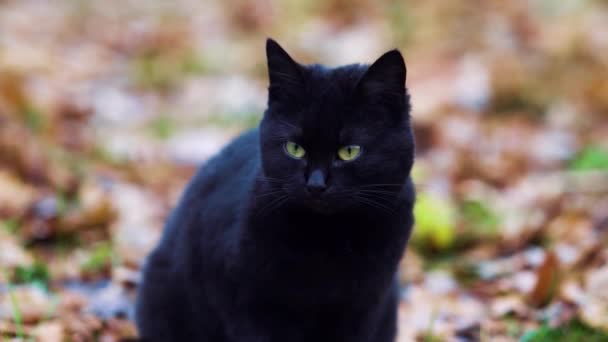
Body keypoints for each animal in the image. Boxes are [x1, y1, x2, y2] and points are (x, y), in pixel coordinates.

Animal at [135, 38, 416, 340]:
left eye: (349, 151)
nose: (315, 184)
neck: (325, 239)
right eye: (294, 148)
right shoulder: (248, 307)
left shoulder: (364, 308)